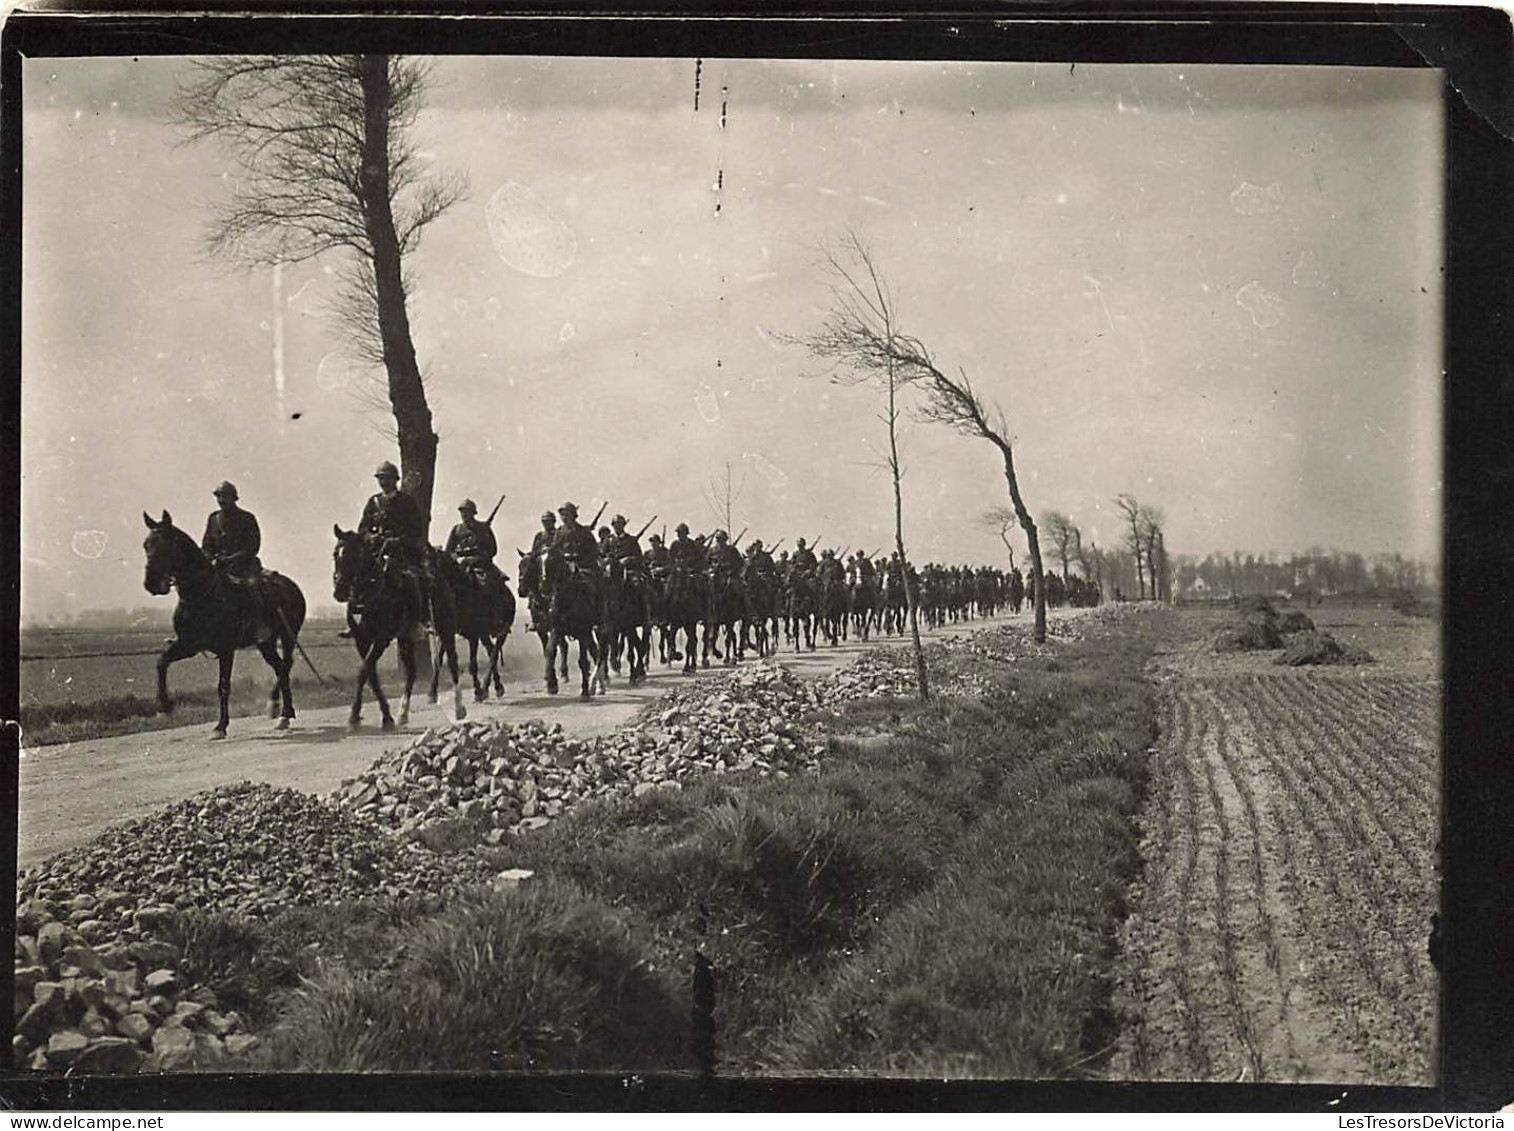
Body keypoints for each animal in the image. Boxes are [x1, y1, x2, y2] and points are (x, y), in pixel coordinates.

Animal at [142, 511, 304, 741]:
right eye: (146, 545)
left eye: (165, 545)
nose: (151, 584)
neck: (201, 594)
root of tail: (292, 587)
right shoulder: (188, 645)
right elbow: (161, 662)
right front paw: (164, 707)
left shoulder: (226, 649)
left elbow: (223, 687)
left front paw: (220, 726)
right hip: (266, 643)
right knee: (280, 668)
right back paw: (278, 711)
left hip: (288, 637)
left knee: (286, 666)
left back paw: (285, 713)